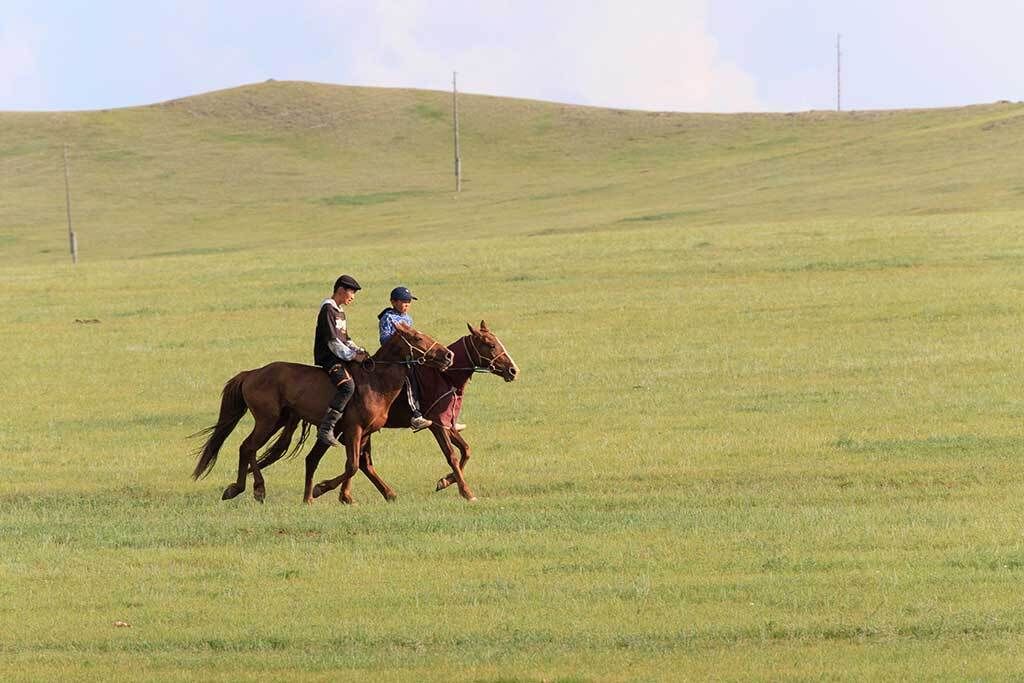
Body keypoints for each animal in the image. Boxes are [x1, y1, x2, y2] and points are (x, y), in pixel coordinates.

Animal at [190, 322, 453, 503]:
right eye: (417, 337)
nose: (448, 355)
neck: (376, 382)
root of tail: (252, 373)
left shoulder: (366, 432)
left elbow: (360, 464)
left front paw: (376, 494)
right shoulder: (353, 430)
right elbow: (353, 465)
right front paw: (322, 488)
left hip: (280, 421)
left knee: (254, 449)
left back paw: (243, 489)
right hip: (267, 421)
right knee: (247, 447)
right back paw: (255, 488)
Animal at [255, 321, 519, 502]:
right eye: (491, 345)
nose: (513, 370)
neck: (443, 376)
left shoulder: (444, 424)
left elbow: (466, 451)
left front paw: (445, 481)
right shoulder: (436, 424)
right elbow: (453, 455)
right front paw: (466, 491)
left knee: (352, 462)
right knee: (353, 462)